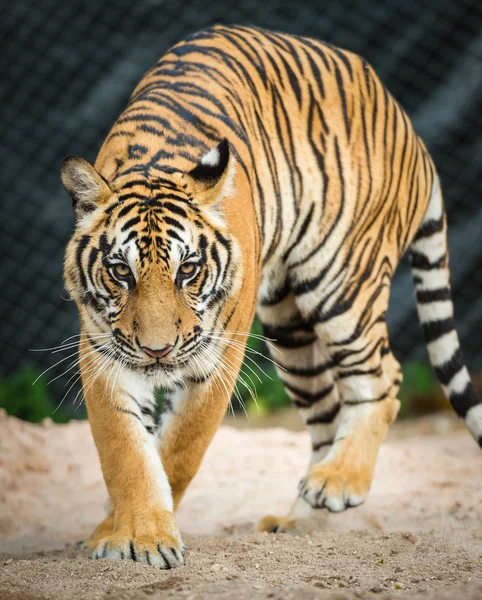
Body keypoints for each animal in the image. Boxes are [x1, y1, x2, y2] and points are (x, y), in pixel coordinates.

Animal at [61, 23, 482, 568]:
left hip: (342, 283)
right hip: (290, 330)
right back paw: (306, 516)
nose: (157, 351)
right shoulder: (102, 351)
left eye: (188, 270)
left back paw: (338, 481)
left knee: (382, 376)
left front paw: (141, 538)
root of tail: (410, 129)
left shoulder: (217, 357)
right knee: (328, 413)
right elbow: (127, 452)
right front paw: (130, 533)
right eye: (120, 272)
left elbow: (178, 451)